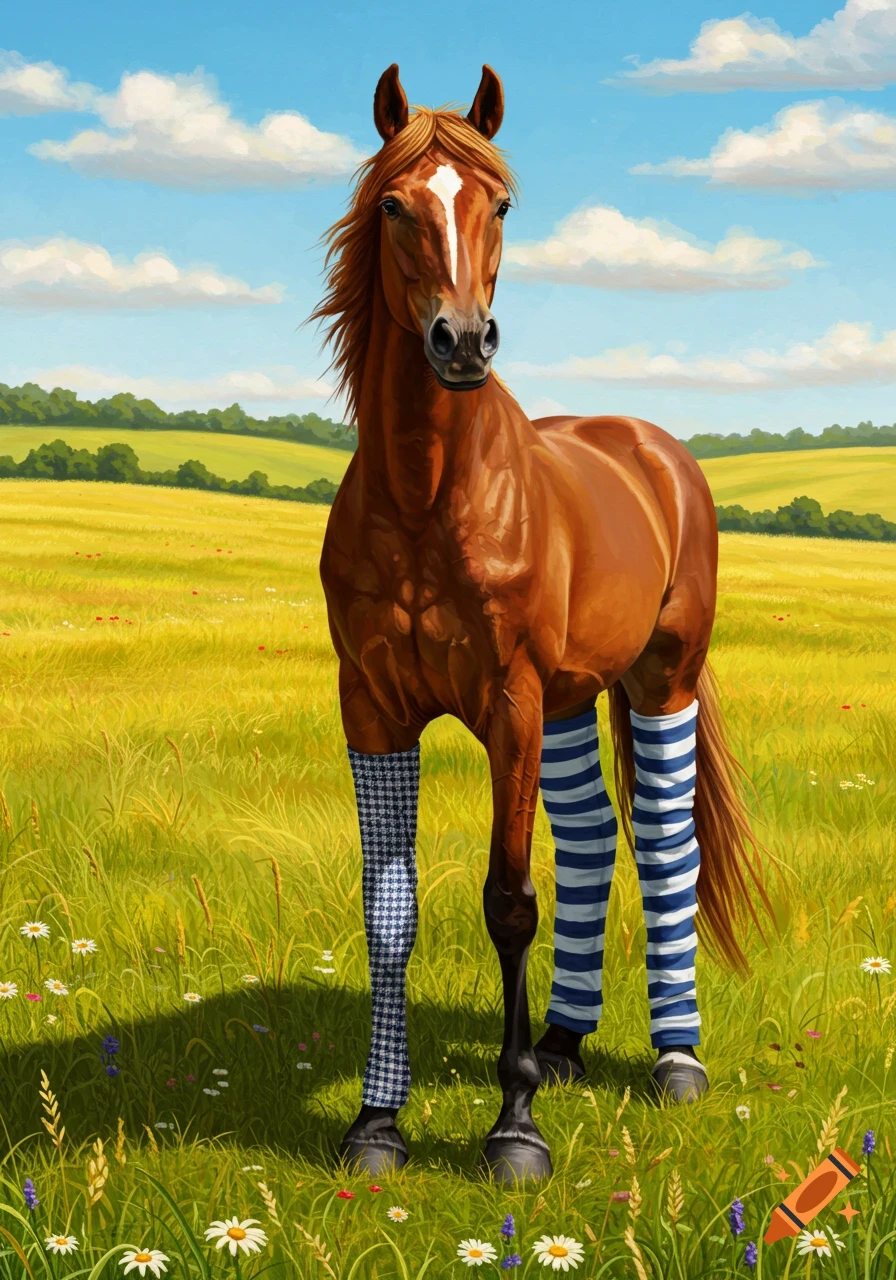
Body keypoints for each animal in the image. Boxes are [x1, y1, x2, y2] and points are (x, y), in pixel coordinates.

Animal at [314, 63, 768, 1184]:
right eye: (394, 204)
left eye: (502, 204)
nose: (462, 343)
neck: (429, 490)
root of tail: (654, 449)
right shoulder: (371, 706)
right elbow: (390, 910)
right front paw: (376, 1122)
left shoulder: (508, 703)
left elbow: (508, 899)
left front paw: (513, 1128)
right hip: (567, 704)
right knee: (595, 836)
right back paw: (562, 1042)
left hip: (658, 681)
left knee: (661, 845)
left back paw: (675, 1060)